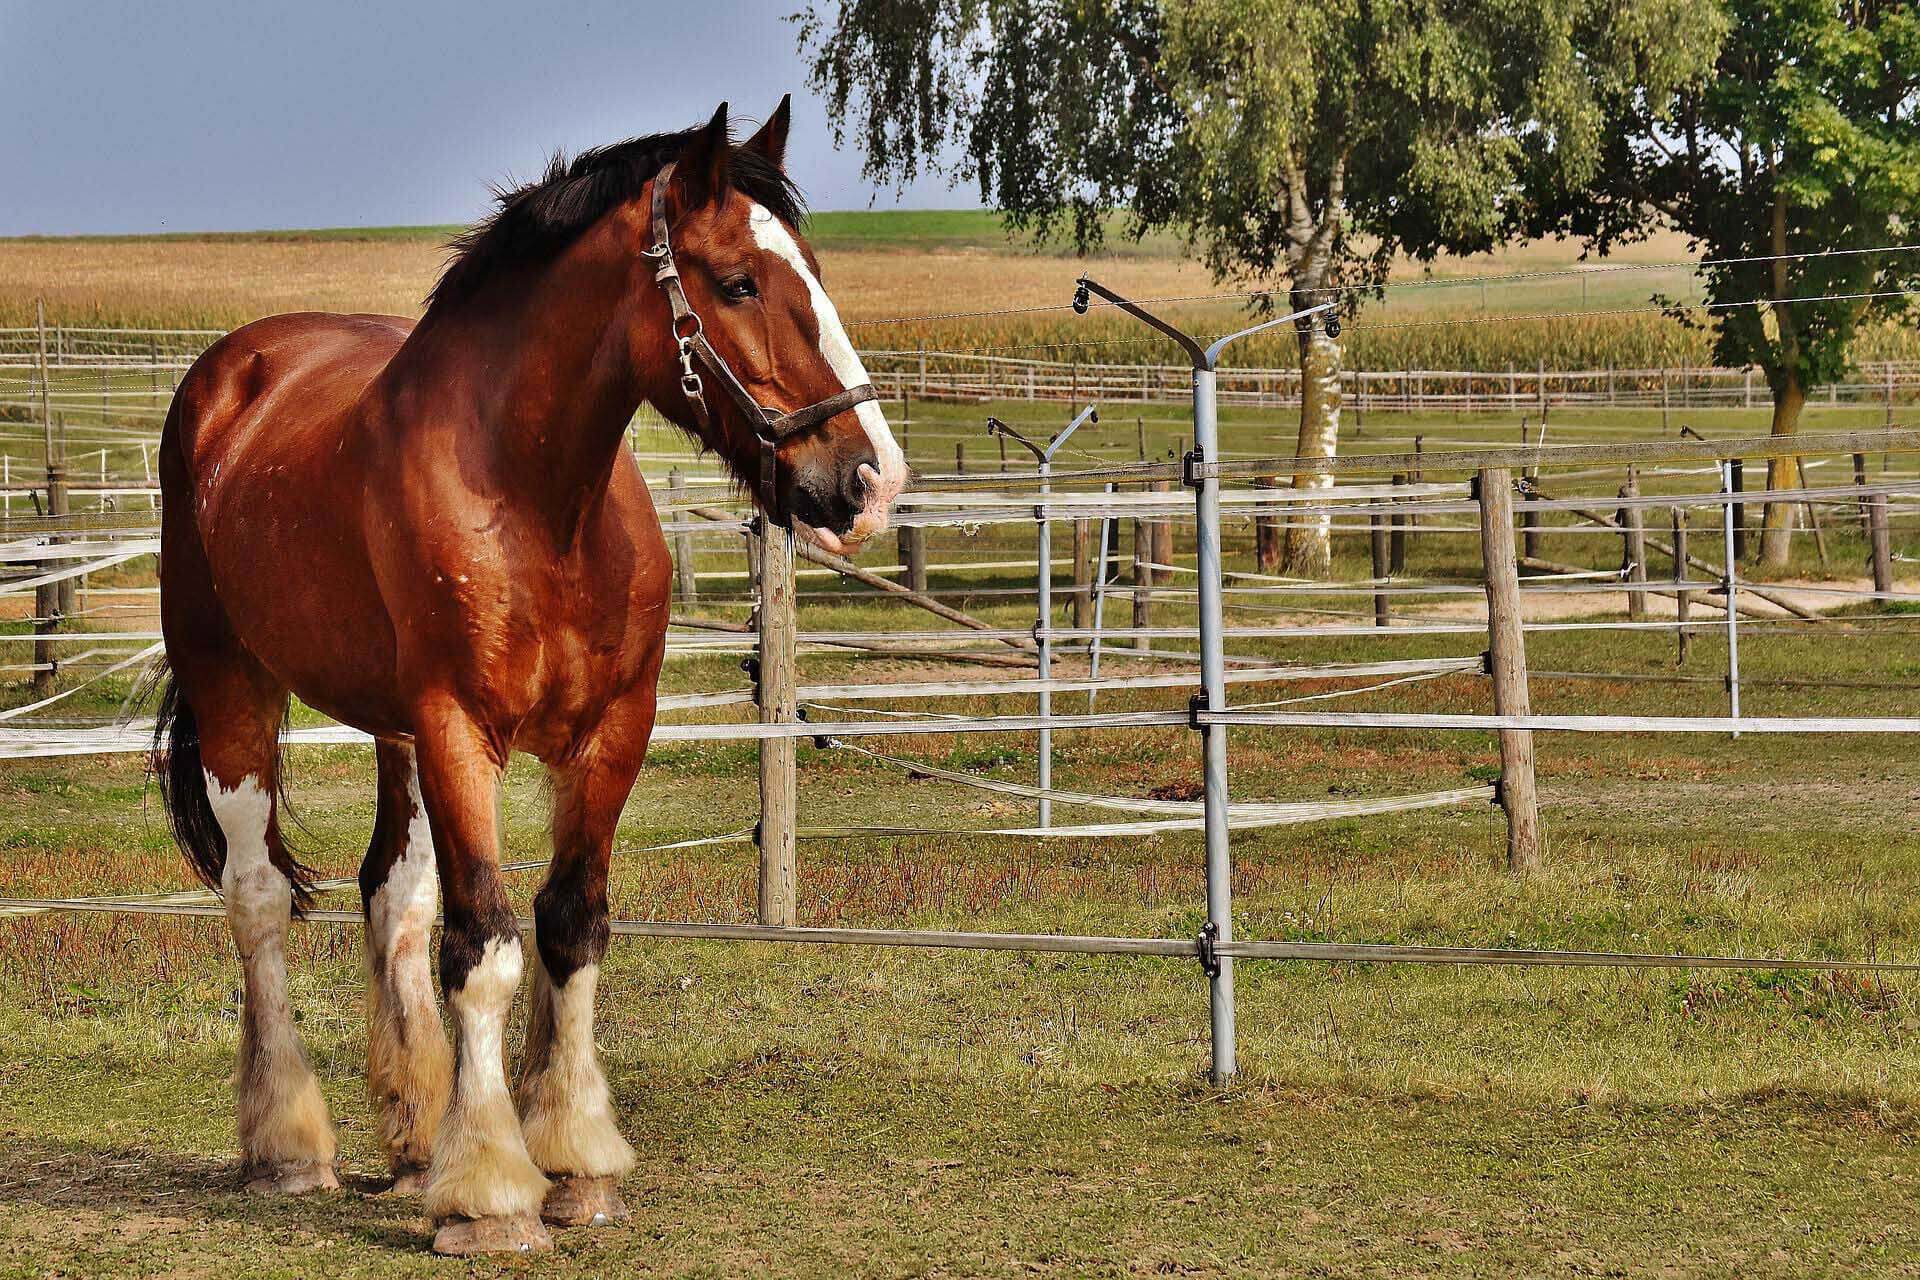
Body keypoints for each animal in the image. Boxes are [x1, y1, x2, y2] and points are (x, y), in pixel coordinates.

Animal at [149, 97, 906, 1251]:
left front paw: (572, 1159)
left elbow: (568, 925)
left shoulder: (609, 731)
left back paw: (416, 1133)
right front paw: (493, 1192)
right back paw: (288, 1144)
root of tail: (231, 373)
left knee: (392, 895)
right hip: (236, 686)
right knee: (259, 899)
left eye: (813, 269)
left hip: (394, 736)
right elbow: (487, 945)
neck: (538, 501)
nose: (870, 481)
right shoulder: (460, 729)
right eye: (739, 281)